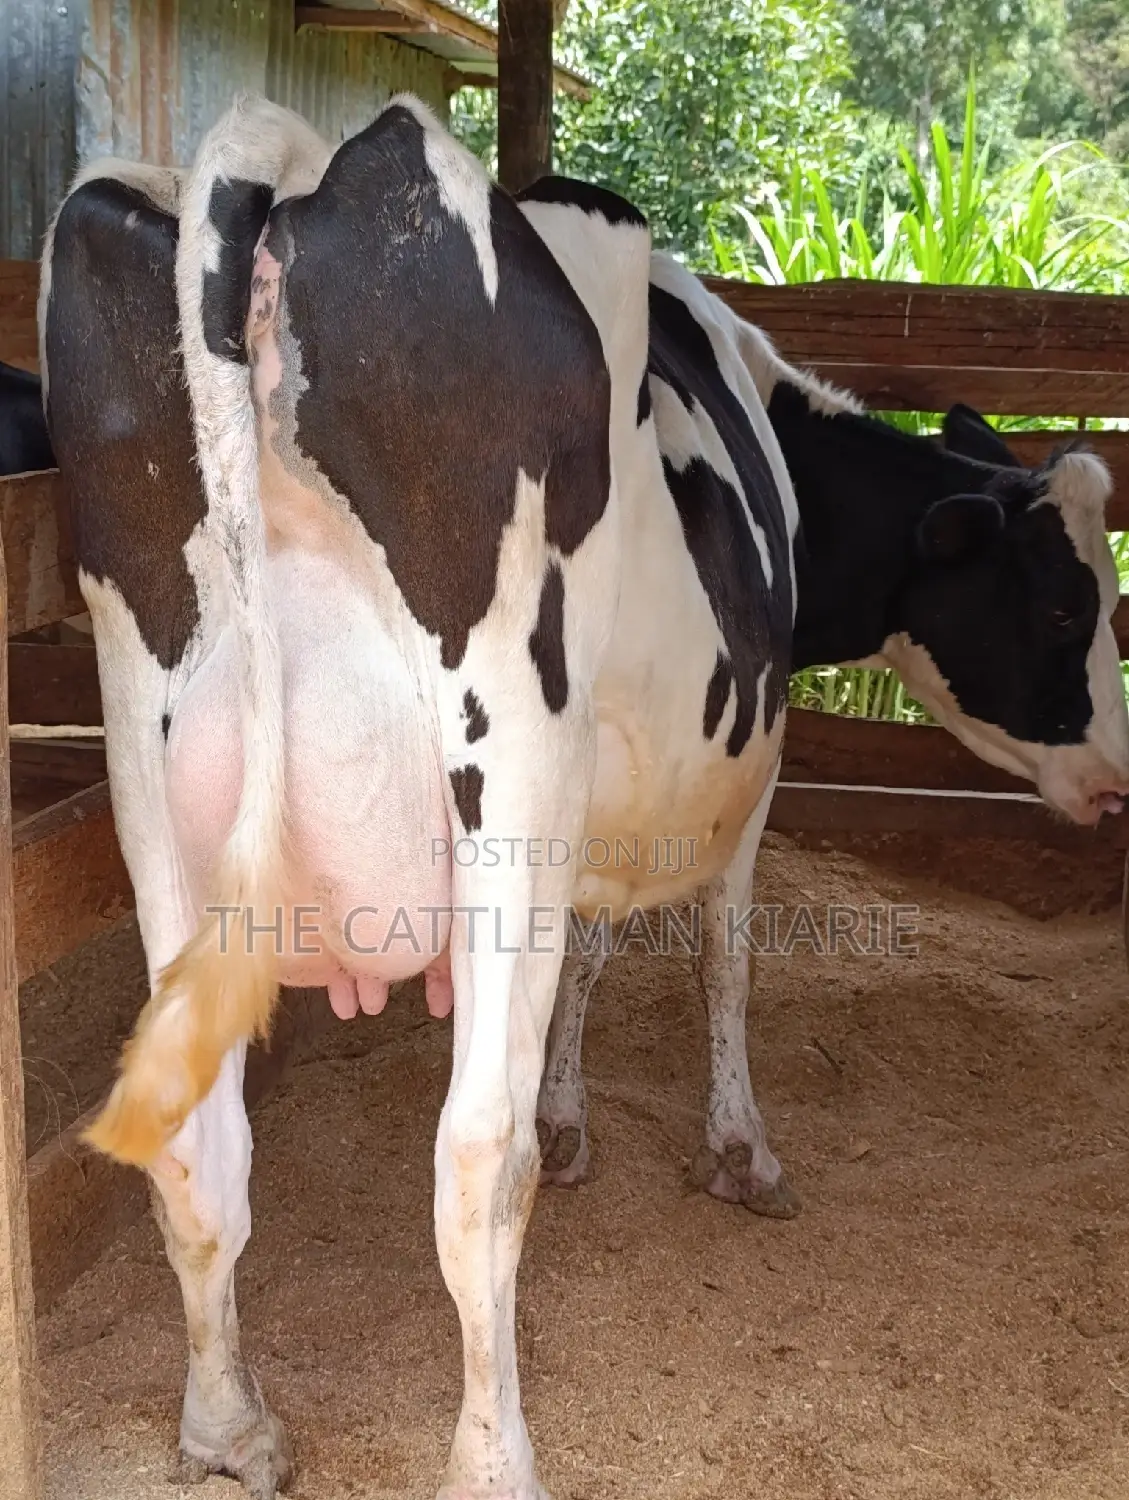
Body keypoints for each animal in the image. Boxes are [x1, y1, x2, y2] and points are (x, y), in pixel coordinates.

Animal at [41, 99, 1128, 1500]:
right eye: (1061, 607)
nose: (1114, 778)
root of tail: (292, 162)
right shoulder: (742, 775)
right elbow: (723, 957)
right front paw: (737, 1150)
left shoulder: (599, 811)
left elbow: (597, 959)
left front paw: (575, 1113)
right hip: (507, 756)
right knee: (471, 1156)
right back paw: (493, 1459)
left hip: (149, 761)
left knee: (194, 1138)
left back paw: (228, 1426)